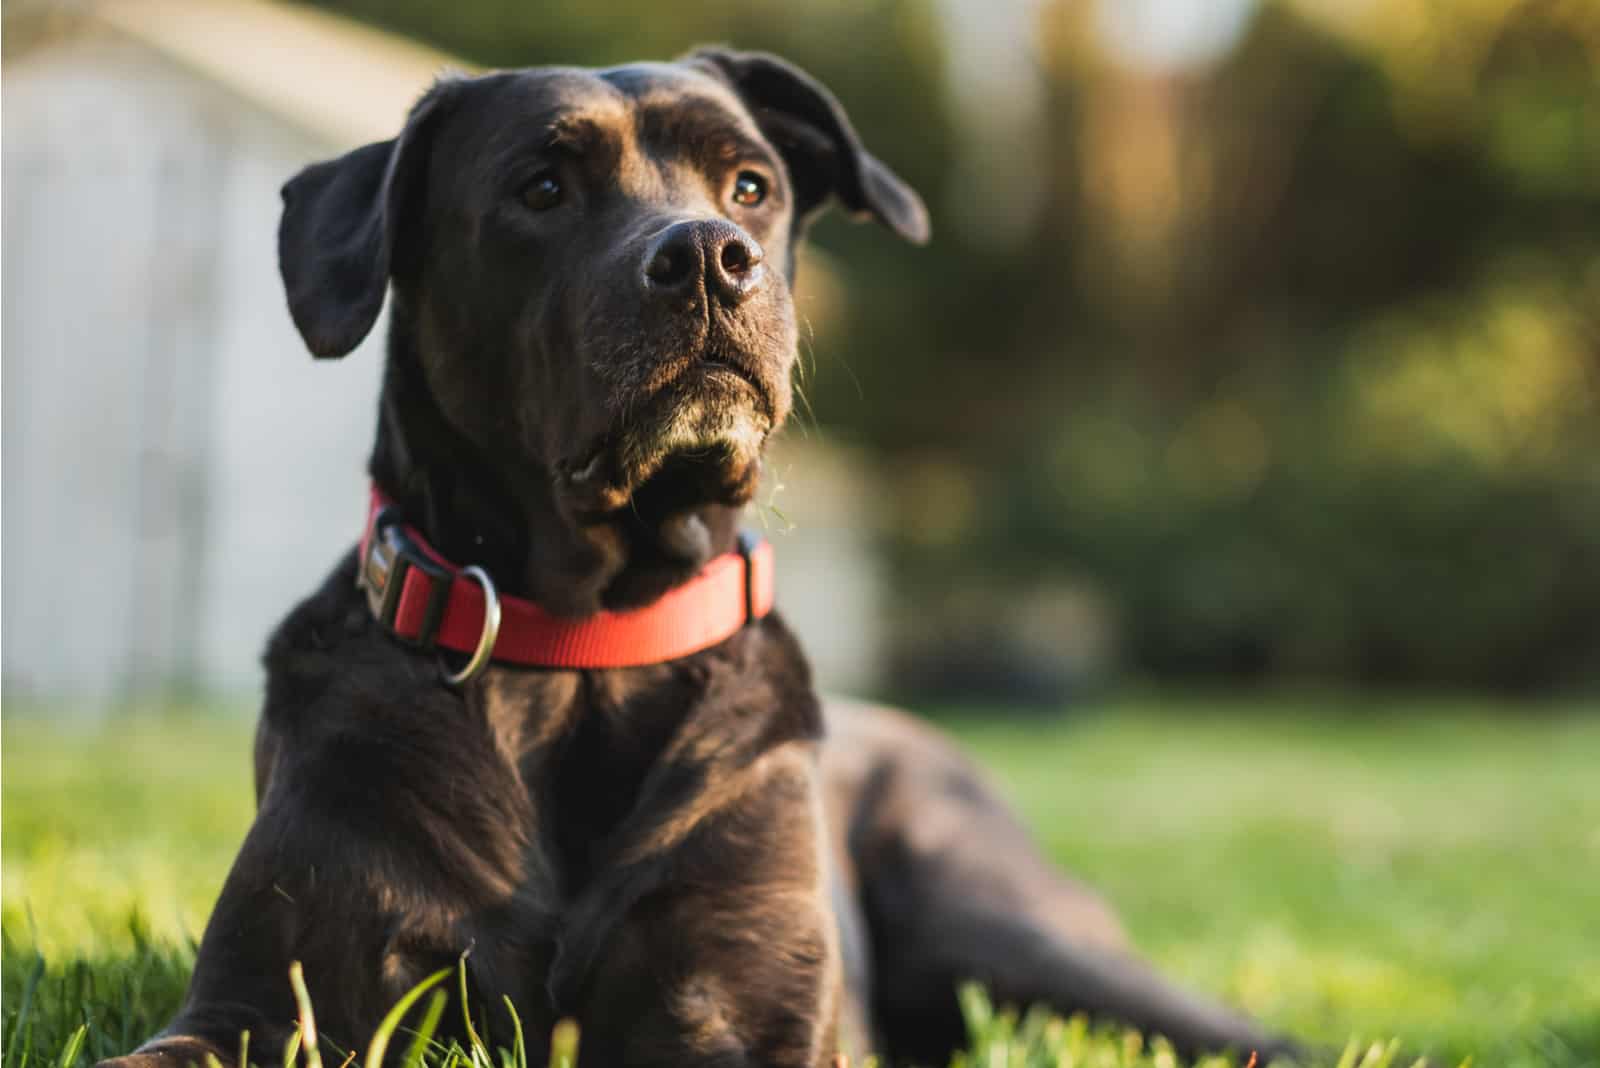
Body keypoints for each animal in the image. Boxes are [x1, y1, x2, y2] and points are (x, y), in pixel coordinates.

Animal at [103, 47, 1299, 1068]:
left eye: (750, 186)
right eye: (542, 188)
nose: (709, 260)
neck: (587, 645)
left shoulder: (743, 1005)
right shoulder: (258, 1004)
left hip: (1008, 927)